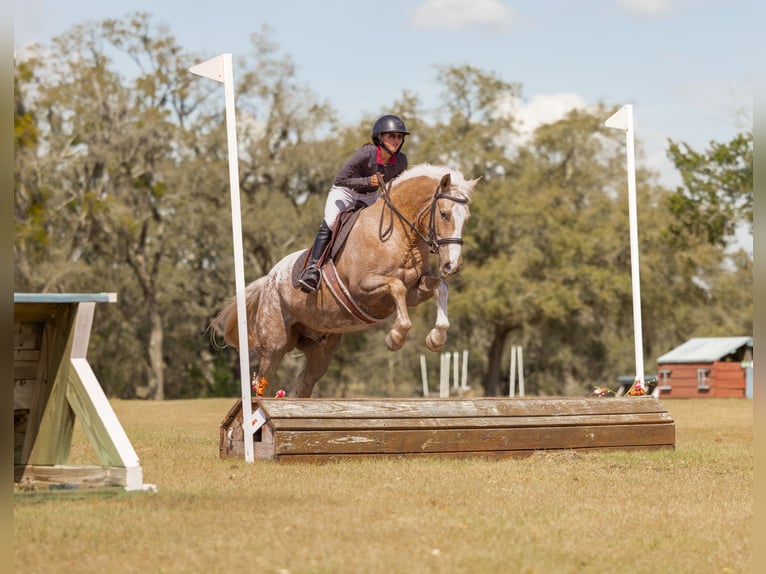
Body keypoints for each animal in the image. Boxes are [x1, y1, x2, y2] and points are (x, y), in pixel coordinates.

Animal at [211, 163, 480, 397]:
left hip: (321, 347)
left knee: (305, 383)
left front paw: (436, 338)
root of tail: (269, 278)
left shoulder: (415, 289)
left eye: (467, 218)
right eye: (444, 214)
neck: (402, 236)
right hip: (275, 344)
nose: (452, 266)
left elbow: (439, 287)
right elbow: (396, 287)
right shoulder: (364, 288)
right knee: (262, 381)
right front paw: (395, 338)